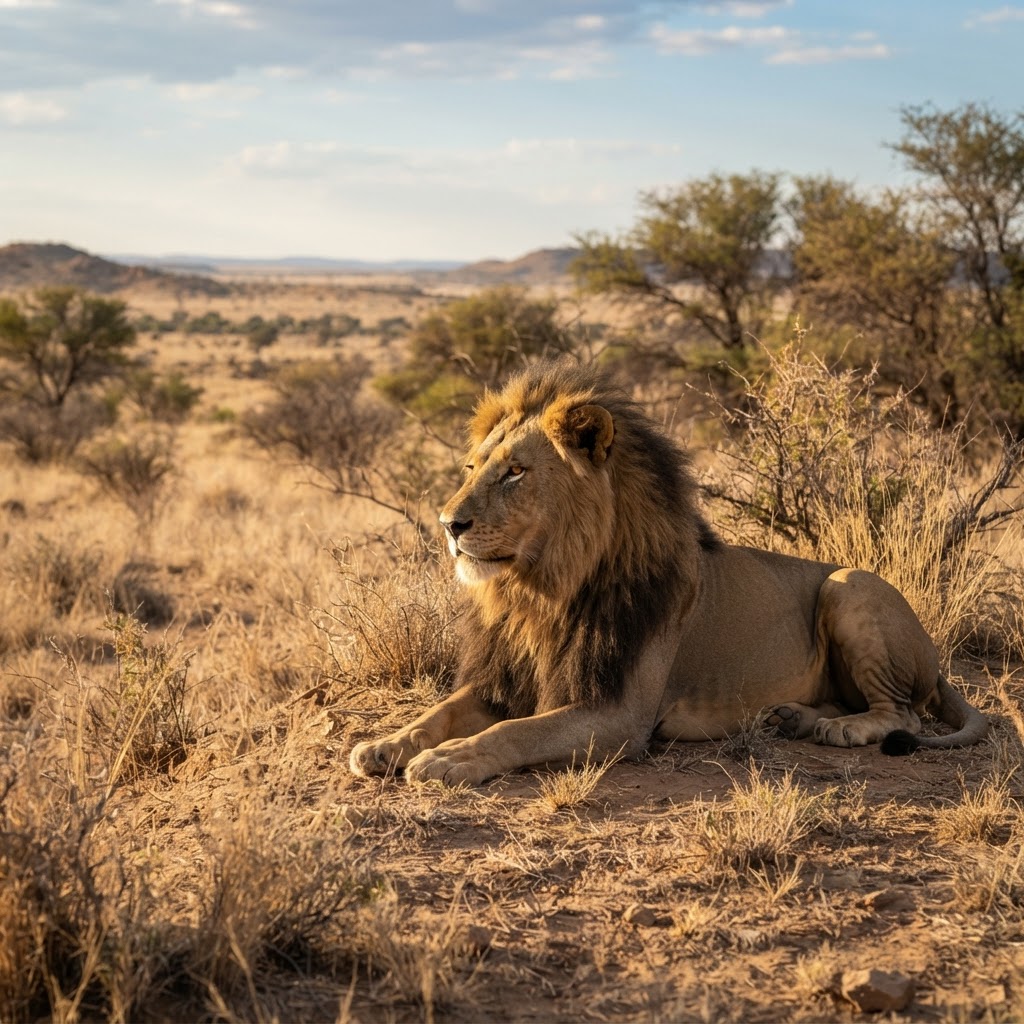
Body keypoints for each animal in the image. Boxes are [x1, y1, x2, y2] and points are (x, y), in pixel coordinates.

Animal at [349, 361, 988, 787]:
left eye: (514, 472)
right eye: (471, 467)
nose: (449, 523)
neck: (541, 593)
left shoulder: (619, 715)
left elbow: (515, 732)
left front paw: (451, 758)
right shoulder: (501, 681)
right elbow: (439, 711)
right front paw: (386, 744)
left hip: (849, 583)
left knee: (901, 711)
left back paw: (841, 730)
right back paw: (794, 718)